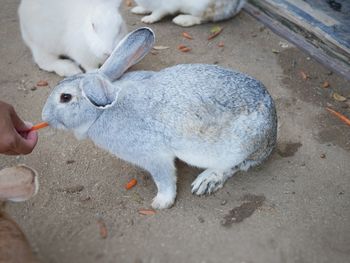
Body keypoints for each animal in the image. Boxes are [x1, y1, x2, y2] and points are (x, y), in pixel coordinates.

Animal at [41, 27, 276, 210]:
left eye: (65, 97)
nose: (44, 116)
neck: (103, 111)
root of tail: (272, 131)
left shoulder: (154, 156)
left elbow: (165, 180)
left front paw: (161, 203)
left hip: (235, 148)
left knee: (234, 166)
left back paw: (205, 181)